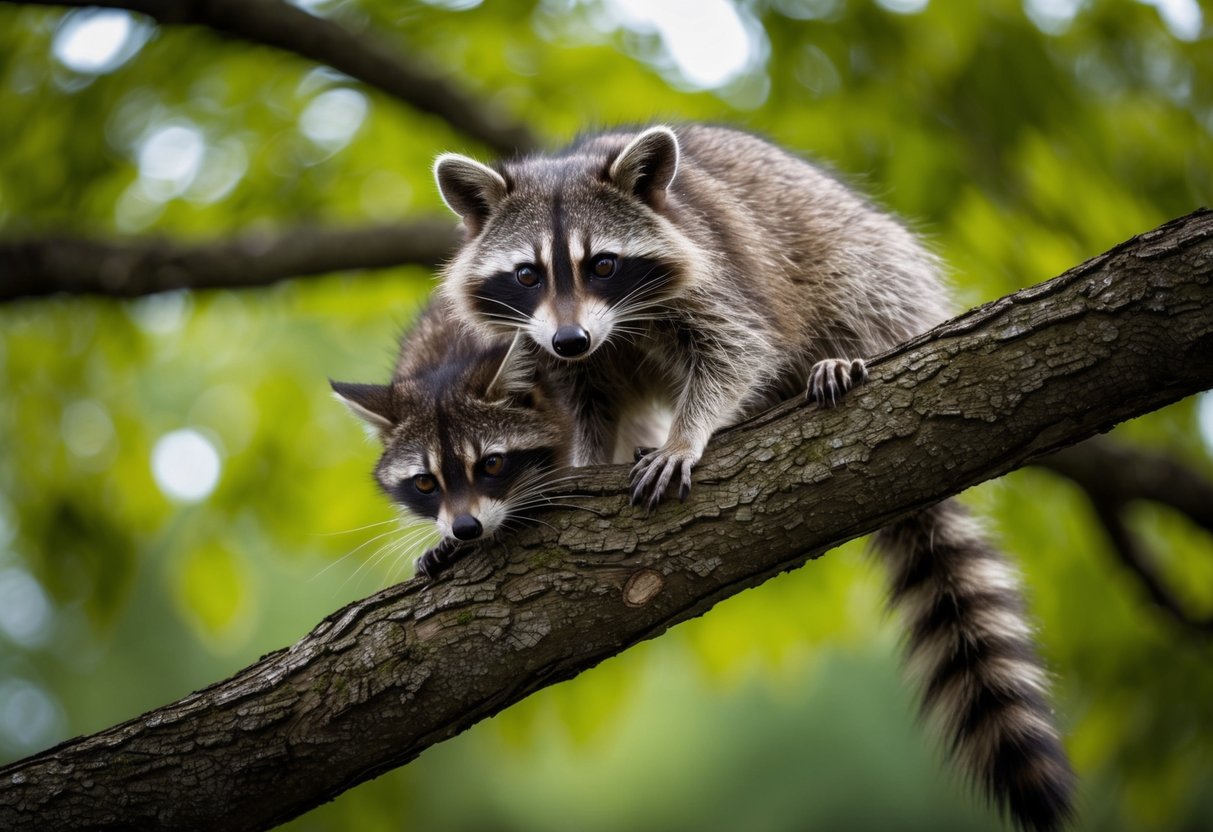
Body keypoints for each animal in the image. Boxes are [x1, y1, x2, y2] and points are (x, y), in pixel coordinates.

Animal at [432, 124, 1075, 830]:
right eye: (527, 274)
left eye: (602, 264)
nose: (573, 338)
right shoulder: (551, 349)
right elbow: (584, 406)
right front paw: (580, 467)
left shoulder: (715, 266)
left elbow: (738, 347)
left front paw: (687, 434)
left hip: (868, 256)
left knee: (862, 285)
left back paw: (842, 355)